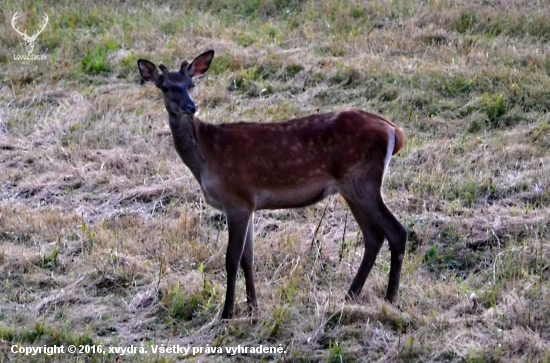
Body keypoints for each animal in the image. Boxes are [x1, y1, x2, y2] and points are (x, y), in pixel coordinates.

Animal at [138, 50, 410, 318]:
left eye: (191, 84)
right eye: (166, 87)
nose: (191, 106)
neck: (206, 157)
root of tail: (395, 131)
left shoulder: (236, 198)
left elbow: (231, 258)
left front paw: (227, 313)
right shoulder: (248, 203)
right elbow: (248, 257)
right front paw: (252, 306)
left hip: (362, 181)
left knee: (397, 231)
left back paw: (391, 299)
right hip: (351, 188)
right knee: (373, 236)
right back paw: (350, 296)